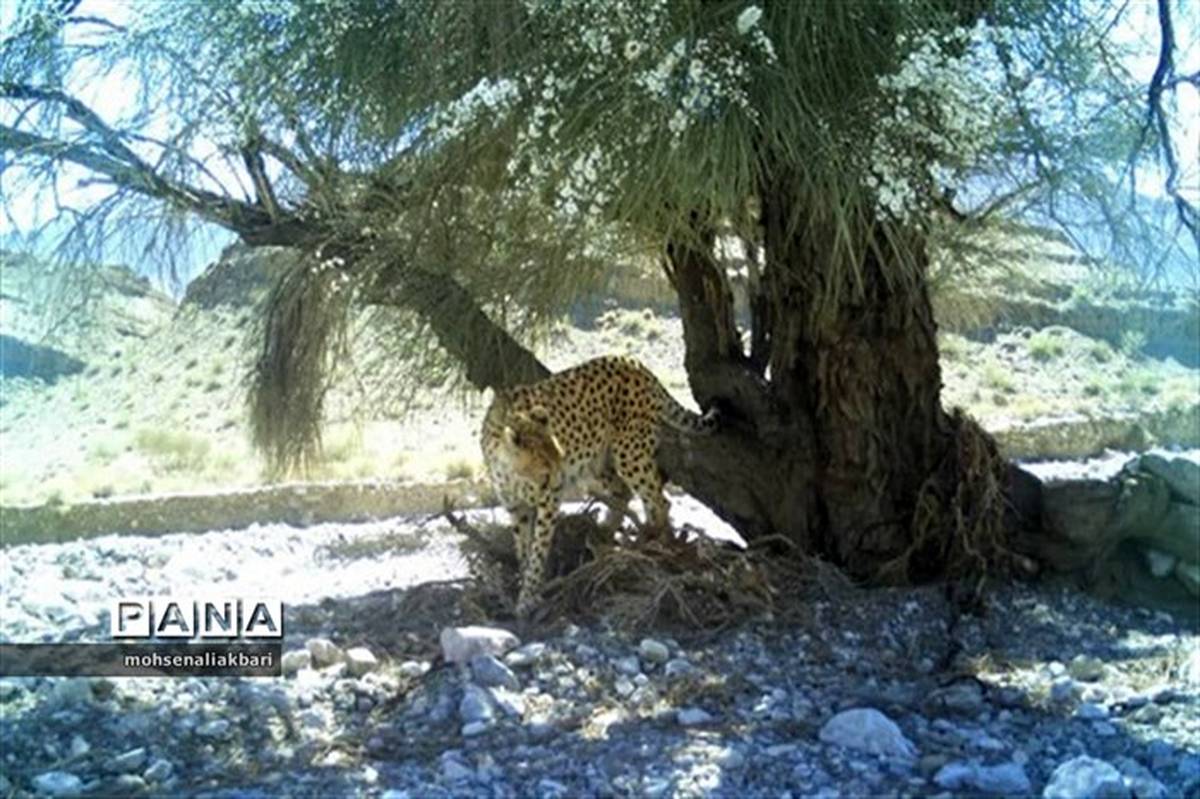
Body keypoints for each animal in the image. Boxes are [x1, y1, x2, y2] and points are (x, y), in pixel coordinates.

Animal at [480, 355, 720, 614]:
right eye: (545, 468)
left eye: (560, 459)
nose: (559, 483)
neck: (509, 468)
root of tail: (632, 362)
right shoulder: (517, 508)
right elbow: (523, 549)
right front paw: (524, 588)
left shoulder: (548, 502)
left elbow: (538, 550)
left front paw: (528, 597)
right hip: (599, 462)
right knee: (625, 492)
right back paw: (608, 533)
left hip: (629, 453)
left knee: (659, 500)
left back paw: (655, 544)